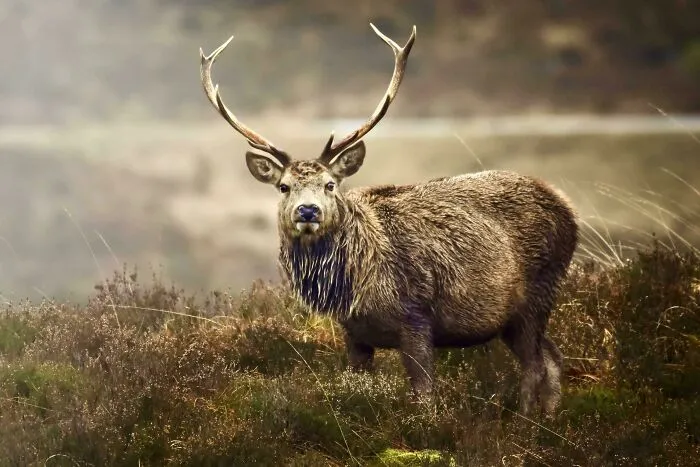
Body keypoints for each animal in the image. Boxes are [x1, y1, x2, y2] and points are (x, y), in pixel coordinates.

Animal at [199, 23, 579, 416]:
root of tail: (567, 208)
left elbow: (425, 397)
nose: (308, 211)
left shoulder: (416, 320)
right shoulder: (354, 335)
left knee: (535, 365)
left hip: (538, 293)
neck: (354, 286)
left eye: (330, 184)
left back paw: (526, 420)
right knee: (553, 357)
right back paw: (550, 418)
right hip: (513, 318)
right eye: (284, 186)